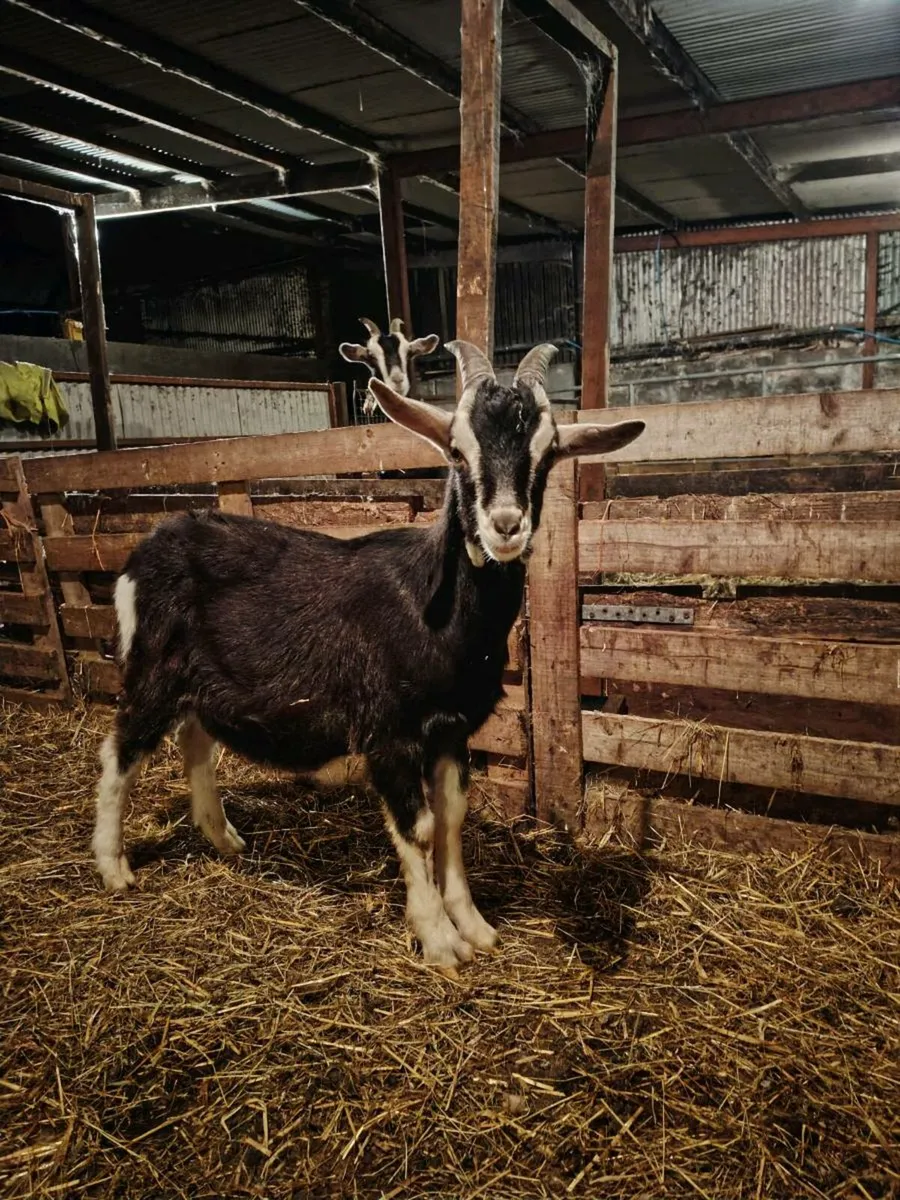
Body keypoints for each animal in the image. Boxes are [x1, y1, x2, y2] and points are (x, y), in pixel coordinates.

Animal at [92, 341, 644, 975]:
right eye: (456, 450)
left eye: (548, 453)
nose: (505, 526)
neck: (436, 613)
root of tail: (148, 545)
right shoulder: (389, 732)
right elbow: (419, 827)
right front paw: (439, 940)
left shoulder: (452, 730)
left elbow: (452, 818)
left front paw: (475, 927)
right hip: (151, 669)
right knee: (121, 751)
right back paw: (113, 868)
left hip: (205, 681)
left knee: (195, 740)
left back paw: (223, 837)